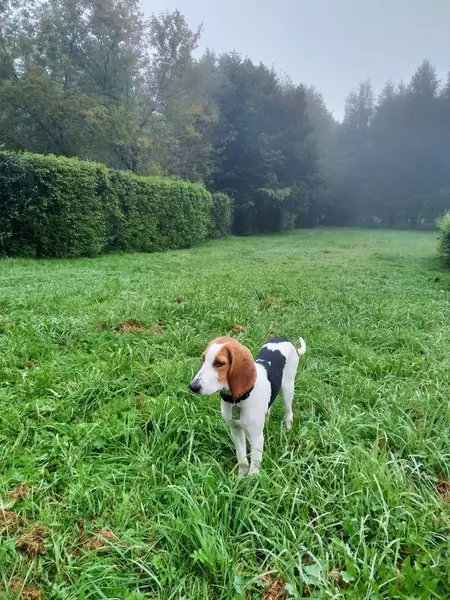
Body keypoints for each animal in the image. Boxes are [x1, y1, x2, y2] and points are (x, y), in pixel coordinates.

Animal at [190, 338, 306, 474]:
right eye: (203, 358)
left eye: (219, 363)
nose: (193, 386)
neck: (237, 400)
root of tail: (284, 339)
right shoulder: (236, 430)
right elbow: (242, 458)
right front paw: (240, 476)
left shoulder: (256, 438)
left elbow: (254, 464)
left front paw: (251, 478)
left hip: (287, 389)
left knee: (288, 411)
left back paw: (288, 429)